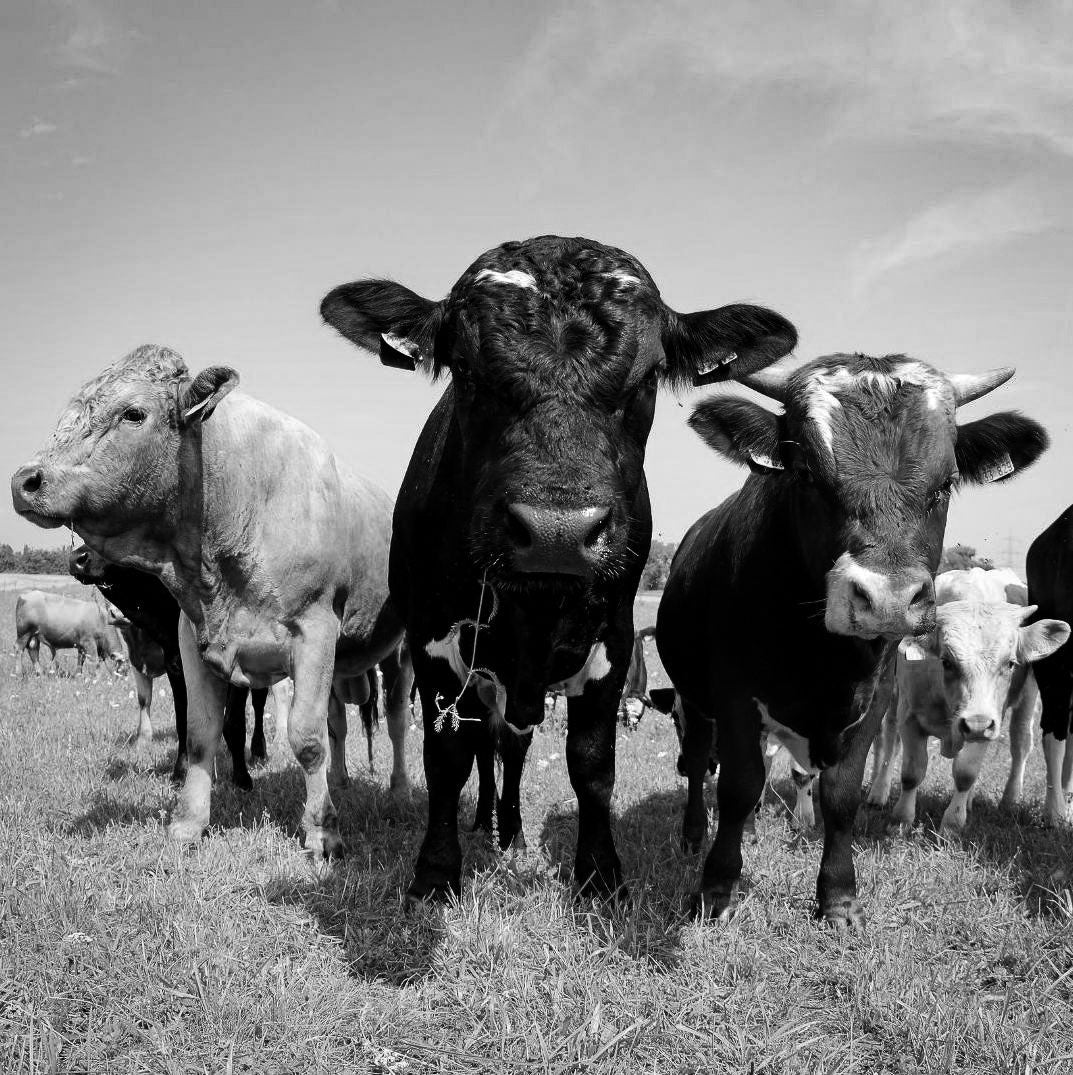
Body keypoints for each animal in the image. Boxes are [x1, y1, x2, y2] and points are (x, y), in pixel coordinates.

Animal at [12, 345, 412, 857]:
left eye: (133, 413)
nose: (25, 480)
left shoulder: (315, 632)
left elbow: (306, 737)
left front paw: (322, 831)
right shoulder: (192, 640)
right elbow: (202, 734)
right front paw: (188, 824)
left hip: (400, 652)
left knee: (396, 721)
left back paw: (399, 790)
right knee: (340, 723)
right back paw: (340, 781)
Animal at [321, 234, 797, 901]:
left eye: (649, 376)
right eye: (466, 372)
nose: (556, 531)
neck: (535, 605)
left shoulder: (613, 644)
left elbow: (592, 765)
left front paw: (599, 874)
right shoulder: (434, 642)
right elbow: (448, 760)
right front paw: (436, 872)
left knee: (513, 748)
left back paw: (513, 832)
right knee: (490, 746)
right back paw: (488, 824)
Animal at [656, 353, 1048, 929]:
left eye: (946, 482)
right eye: (806, 474)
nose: (887, 598)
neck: (818, 653)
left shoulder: (874, 699)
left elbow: (841, 794)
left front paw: (838, 898)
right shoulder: (734, 697)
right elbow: (738, 785)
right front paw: (716, 890)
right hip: (694, 697)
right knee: (700, 758)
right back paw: (690, 834)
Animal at [866, 569, 1068, 831]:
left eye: (1010, 663)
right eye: (946, 661)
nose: (976, 724)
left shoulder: (988, 721)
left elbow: (966, 774)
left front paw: (952, 823)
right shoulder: (910, 715)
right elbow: (911, 772)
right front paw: (901, 820)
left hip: (1028, 695)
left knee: (1021, 741)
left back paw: (1007, 800)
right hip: (893, 693)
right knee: (889, 737)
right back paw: (879, 790)